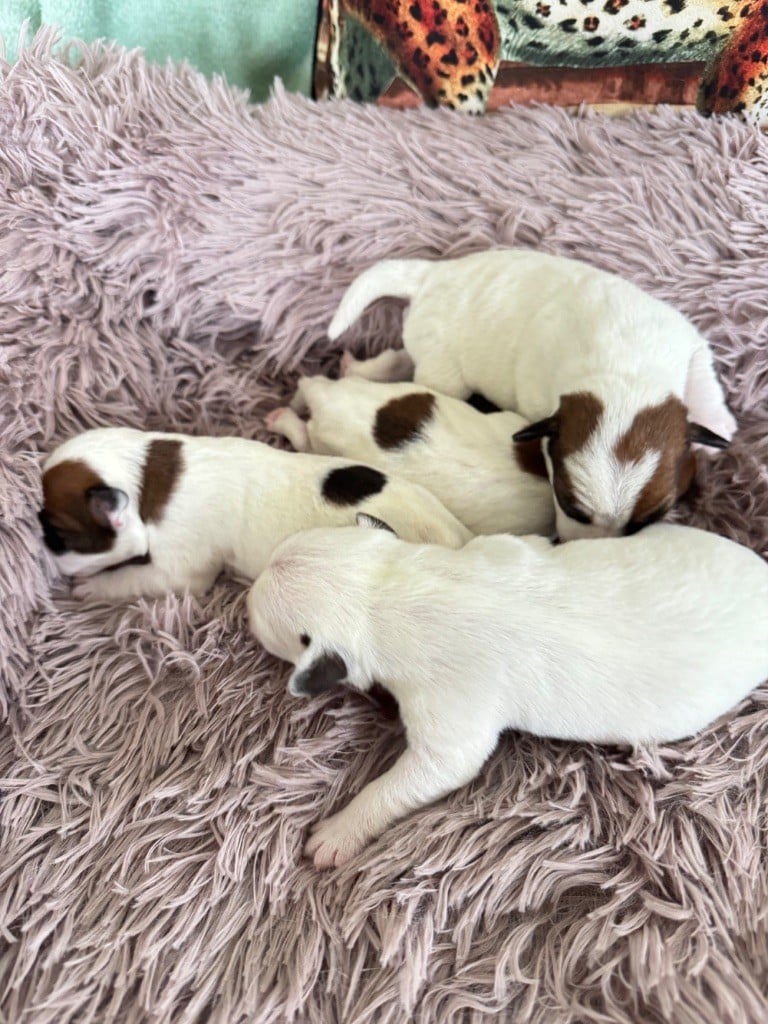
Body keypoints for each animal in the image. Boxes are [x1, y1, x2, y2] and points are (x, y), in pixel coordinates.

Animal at [39, 423, 473, 598]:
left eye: (57, 535)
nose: (42, 551)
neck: (143, 476)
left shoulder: (177, 572)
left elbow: (133, 578)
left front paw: (93, 586)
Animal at [247, 516, 768, 868]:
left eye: (257, 616)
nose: (243, 594)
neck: (391, 590)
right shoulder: (499, 547)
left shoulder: (449, 714)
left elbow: (416, 776)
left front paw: (339, 831)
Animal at [327, 248, 737, 544]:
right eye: (569, 506)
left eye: (646, 520)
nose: (571, 545)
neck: (625, 372)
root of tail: (432, 276)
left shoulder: (685, 341)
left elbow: (701, 375)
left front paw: (717, 425)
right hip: (443, 365)